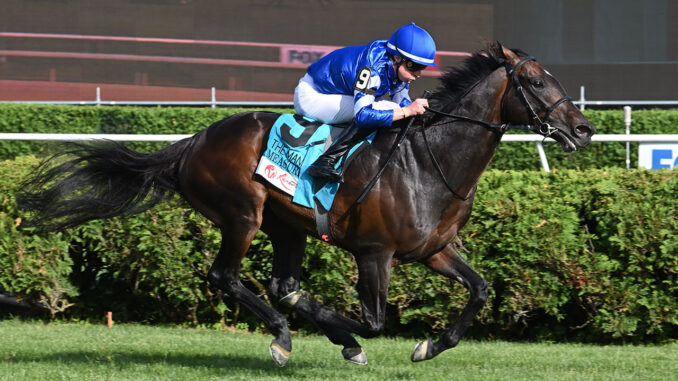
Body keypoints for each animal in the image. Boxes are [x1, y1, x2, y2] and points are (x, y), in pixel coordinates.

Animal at [17, 43, 596, 366]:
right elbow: (373, 323)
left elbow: (480, 290)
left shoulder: (433, 249)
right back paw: (282, 335)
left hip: (287, 226)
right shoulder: (374, 253)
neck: (429, 163)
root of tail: (195, 140)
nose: (583, 129)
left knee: (281, 283)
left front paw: (429, 346)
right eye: (536, 81)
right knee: (225, 276)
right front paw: (349, 338)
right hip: (242, 215)